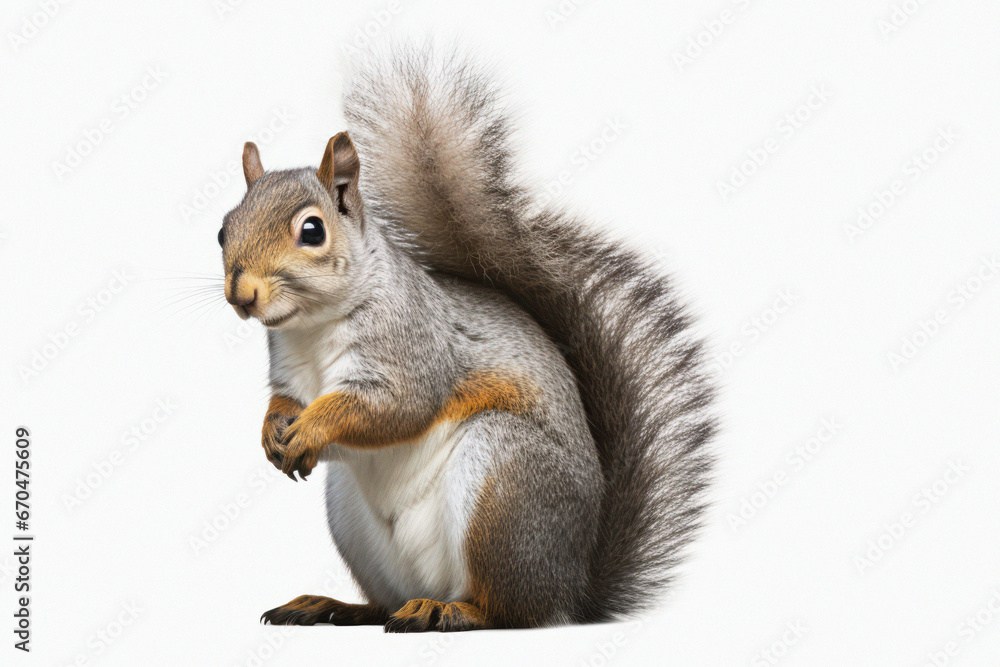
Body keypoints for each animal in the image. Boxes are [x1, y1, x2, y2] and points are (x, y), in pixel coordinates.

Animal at [218, 47, 714, 632]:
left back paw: (451, 610)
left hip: (504, 485)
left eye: (312, 231)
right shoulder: (290, 371)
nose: (241, 294)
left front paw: (311, 429)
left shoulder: (412, 343)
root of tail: (573, 590)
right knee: (383, 604)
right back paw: (335, 605)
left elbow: (395, 406)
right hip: (355, 522)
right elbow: (284, 401)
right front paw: (272, 432)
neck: (312, 326)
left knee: (509, 609)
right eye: (223, 230)